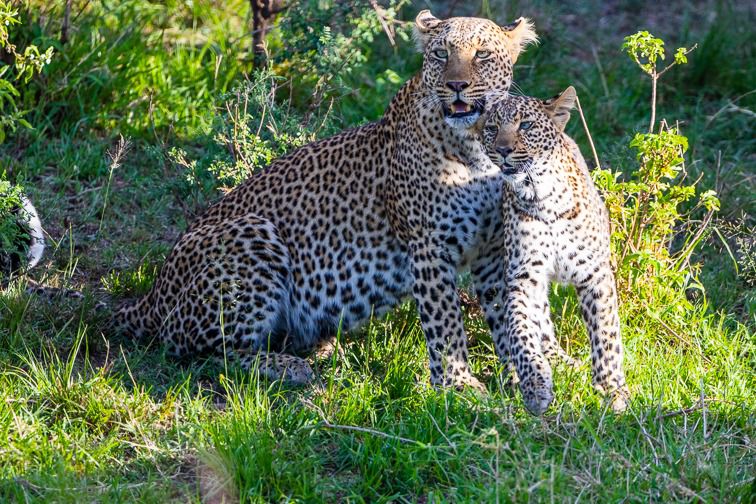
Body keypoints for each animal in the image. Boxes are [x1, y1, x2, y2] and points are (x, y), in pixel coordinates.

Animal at [115, 10, 539, 390]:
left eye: (482, 55)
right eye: (440, 54)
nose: (456, 85)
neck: (477, 148)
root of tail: (151, 296)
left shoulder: (492, 248)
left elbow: (508, 312)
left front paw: (522, 379)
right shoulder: (428, 245)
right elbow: (445, 322)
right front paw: (459, 385)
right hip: (251, 234)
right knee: (210, 352)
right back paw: (290, 368)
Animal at [474, 87, 630, 414]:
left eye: (525, 126)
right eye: (492, 128)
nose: (503, 150)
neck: (542, 196)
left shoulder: (595, 273)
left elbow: (606, 333)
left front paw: (612, 388)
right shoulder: (523, 276)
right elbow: (519, 330)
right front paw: (535, 385)